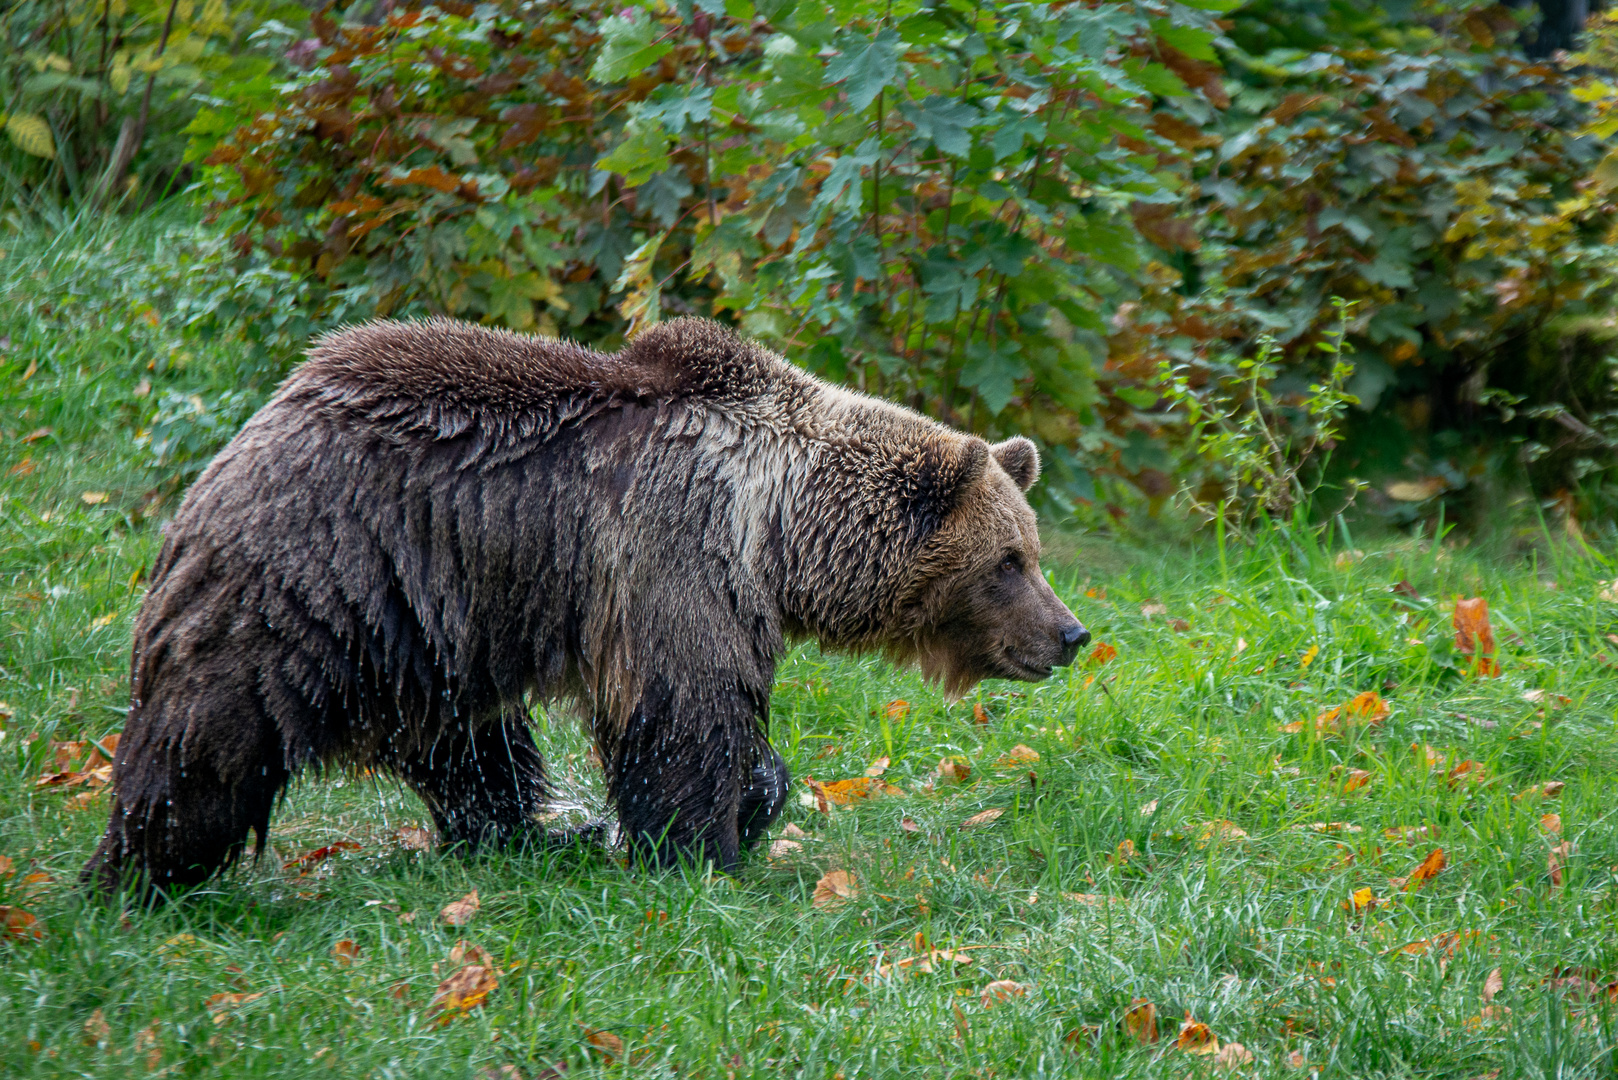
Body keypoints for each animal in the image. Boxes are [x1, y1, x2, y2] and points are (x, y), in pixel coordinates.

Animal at [78, 317, 1087, 893]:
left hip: (437, 626)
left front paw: (720, 813)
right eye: (1008, 561)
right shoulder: (676, 557)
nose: (1071, 633)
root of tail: (261, 419)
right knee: (210, 735)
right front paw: (703, 850)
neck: (777, 531)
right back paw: (133, 876)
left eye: (1032, 552)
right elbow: (686, 717)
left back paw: (525, 834)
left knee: (470, 748)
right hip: (312, 578)